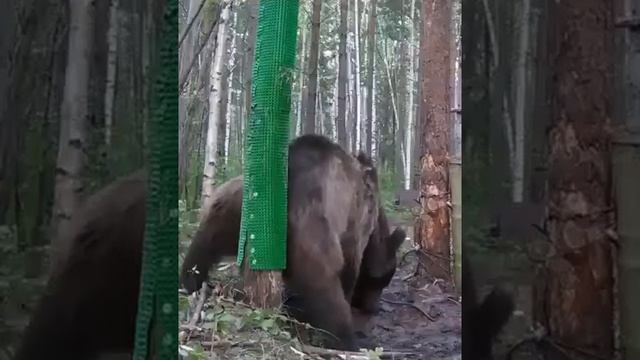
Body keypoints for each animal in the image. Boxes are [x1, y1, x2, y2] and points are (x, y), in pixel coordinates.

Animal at [179, 134, 404, 350]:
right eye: (384, 279)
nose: (374, 307)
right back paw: (346, 340)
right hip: (312, 222)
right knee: (323, 282)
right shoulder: (355, 224)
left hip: (231, 210)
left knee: (203, 247)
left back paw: (189, 283)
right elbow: (347, 268)